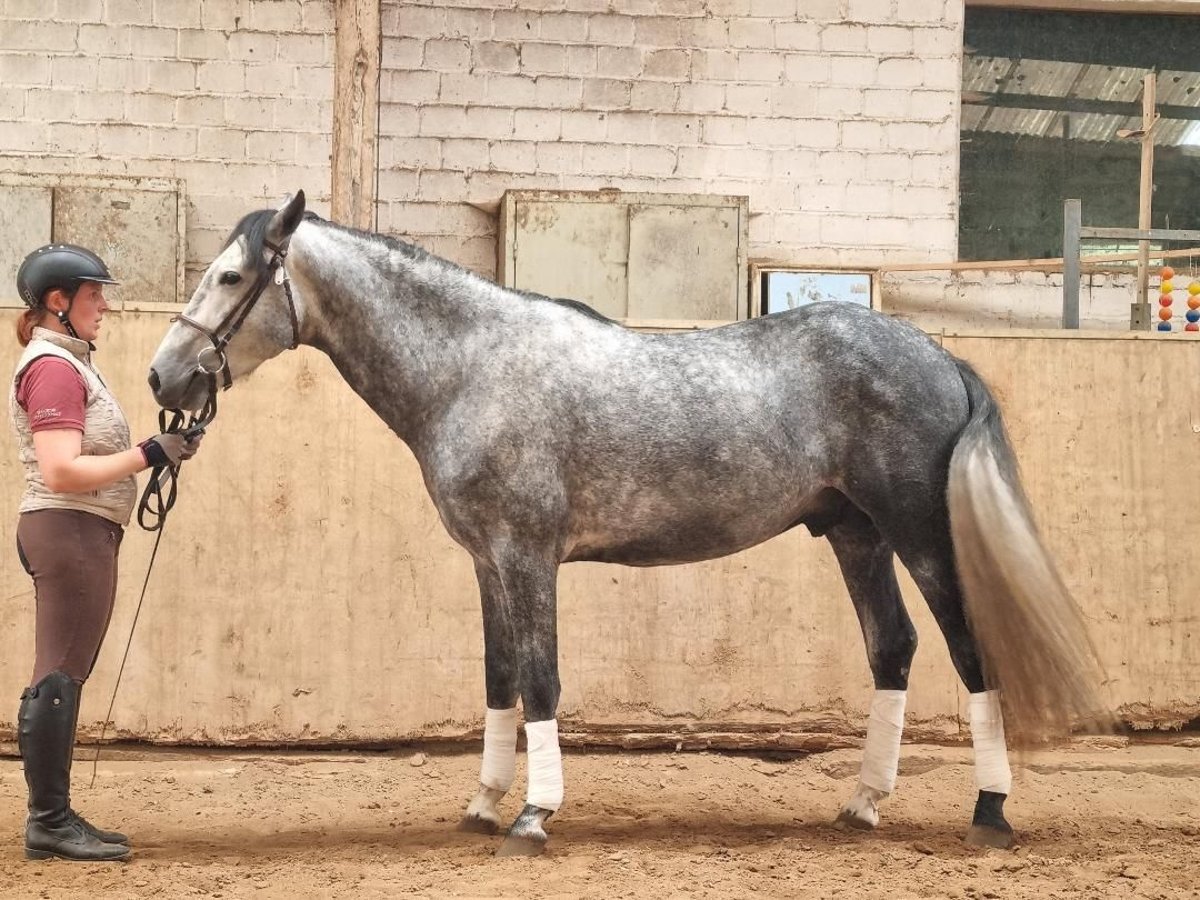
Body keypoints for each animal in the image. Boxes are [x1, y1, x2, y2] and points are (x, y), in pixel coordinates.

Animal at [147, 194, 1104, 854]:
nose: (163, 377)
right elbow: (499, 678)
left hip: (919, 531)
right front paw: (483, 805)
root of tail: (939, 354)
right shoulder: (487, 563)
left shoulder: (528, 556)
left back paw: (989, 811)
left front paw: (534, 815)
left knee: (969, 648)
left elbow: (541, 680)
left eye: (231, 277)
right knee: (892, 647)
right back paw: (863, 804)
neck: (473, 368)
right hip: (854, 534)